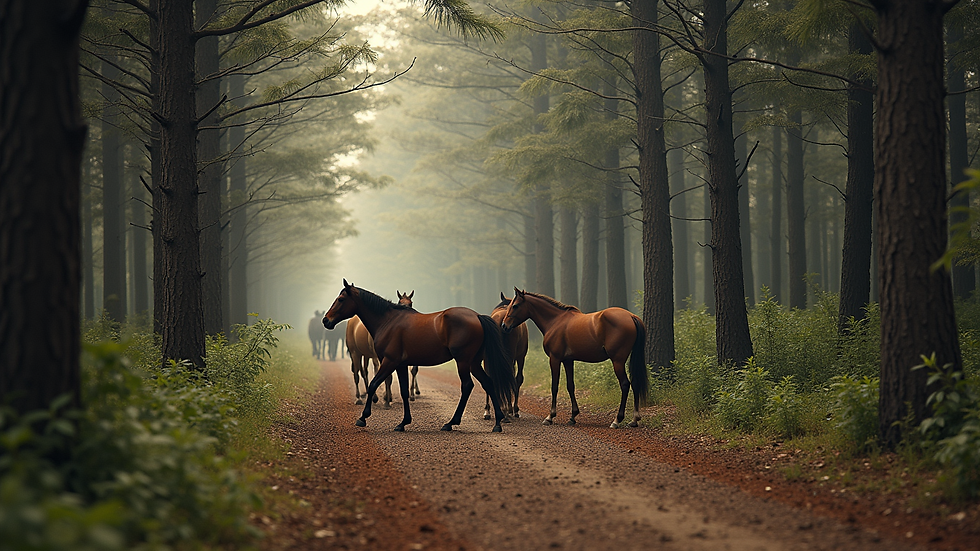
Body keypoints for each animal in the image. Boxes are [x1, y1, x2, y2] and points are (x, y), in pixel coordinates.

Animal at [323, 280, 517, 432]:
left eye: (340, 299)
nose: (326, 320)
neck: (388, 321)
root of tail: (477, 316)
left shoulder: (389, 361)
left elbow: (373, 384)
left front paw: (363, 417)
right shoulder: (400, 365)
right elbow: (403, 391)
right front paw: (403, 423)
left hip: (463, 362)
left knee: (467, 386)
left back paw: (451, 422)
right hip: (474, 363)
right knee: (488, 383)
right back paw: (497, 422)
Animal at [500, 288, 648, 428]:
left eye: (515, 306)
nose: (504, 326)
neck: (555, 321)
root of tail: (631, 316)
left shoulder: (555, 359)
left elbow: (554, 386)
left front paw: (550, 417)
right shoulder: (568, 361)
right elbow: (570, 386)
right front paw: (573, 416)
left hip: (617, 361)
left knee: (625, 384)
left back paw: (617, 420)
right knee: (635, 383)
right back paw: (634, 420)